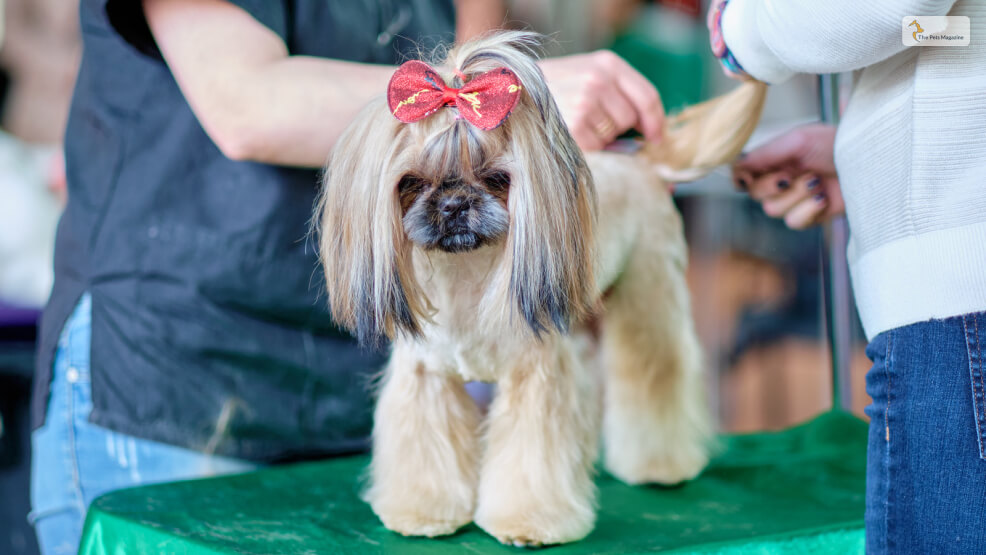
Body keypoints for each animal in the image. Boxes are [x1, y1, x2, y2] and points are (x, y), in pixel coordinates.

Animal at [316, 30, 760, 548]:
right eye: (411, 182)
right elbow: (426, 448)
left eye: (495, 178)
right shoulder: (427, 376)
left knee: (656, 371)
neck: (466, 274)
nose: (453, 204)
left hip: (648, 297)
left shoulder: (538, 374)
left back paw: (661, 465)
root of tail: (643, 165)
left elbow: (532, 457)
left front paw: (528, 522)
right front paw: (423, 511)